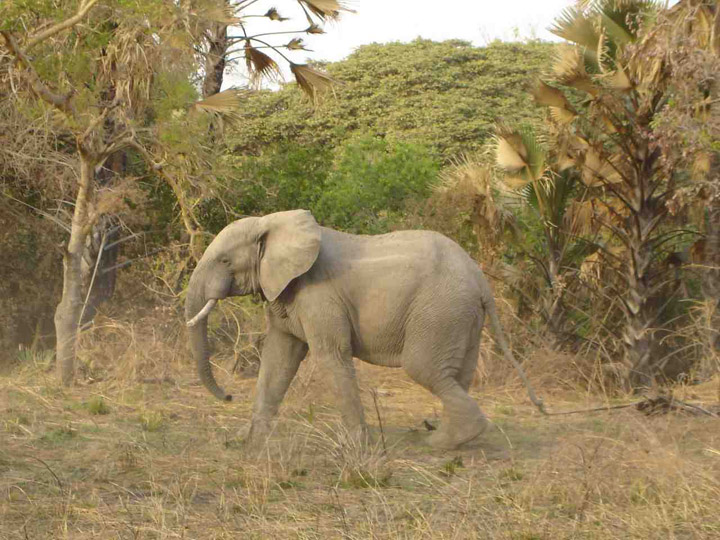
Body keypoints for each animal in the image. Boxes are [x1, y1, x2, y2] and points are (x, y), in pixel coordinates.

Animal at [183, 209, 544, 450]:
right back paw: (450, 437)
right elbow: (279, 358)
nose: (229, 396)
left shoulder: (319, 294)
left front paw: (357, 447)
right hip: (462, 316)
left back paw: (440, 444)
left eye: (225, 261)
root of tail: (481, 281)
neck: (272, 222)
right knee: (457, 376)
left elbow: (330, 355)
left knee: (425, 369)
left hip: (441, 310)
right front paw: (246, 441)